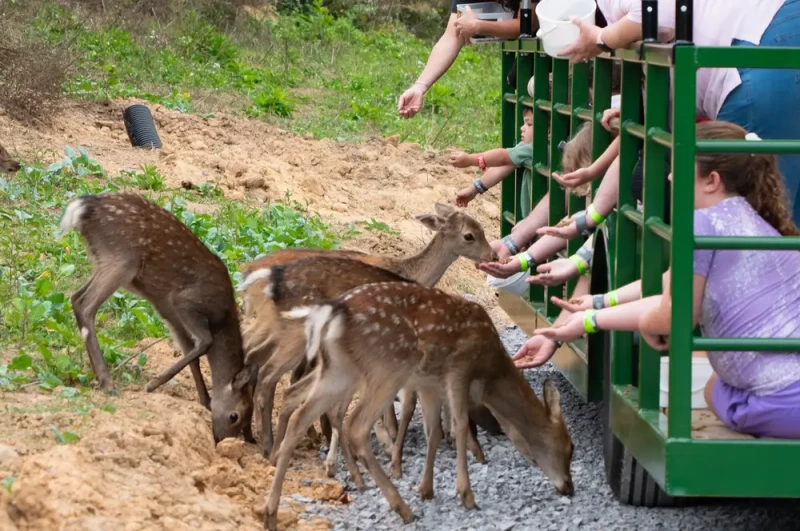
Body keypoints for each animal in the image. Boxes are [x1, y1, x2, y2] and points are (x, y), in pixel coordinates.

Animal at [58, 192, 258, 444]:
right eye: (235, 416)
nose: (220, 440)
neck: (222, 318)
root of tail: (83, 206)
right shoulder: (184, 302)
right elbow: (204, 342)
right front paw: (152, 385)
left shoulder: (167, 311)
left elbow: (190, 351)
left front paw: (205, 402)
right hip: (121, 259)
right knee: (85, 305)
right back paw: (108, 383)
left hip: (104, 261)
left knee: (75, 297)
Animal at [234, 202, 503, 459]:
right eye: (469, 235)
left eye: (481, 228)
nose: (493, 255)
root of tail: (251, 273)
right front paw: (391, 436)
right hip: (286, 329)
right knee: (266, 369)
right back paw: (269, 444)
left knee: (255, 356)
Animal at [263, 281, 575, 530]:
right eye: (569, 448)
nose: (569, 487)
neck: (489, 371)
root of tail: (333, 312)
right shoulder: (458, 368)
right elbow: (460, 426)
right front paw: (466, 494)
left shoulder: (429, 383)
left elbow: (433, 432)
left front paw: (426, 489)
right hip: (387, 366)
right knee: (355, 426)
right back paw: (402, 507)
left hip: (340, 371)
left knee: (300, 416)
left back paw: (270, 511)